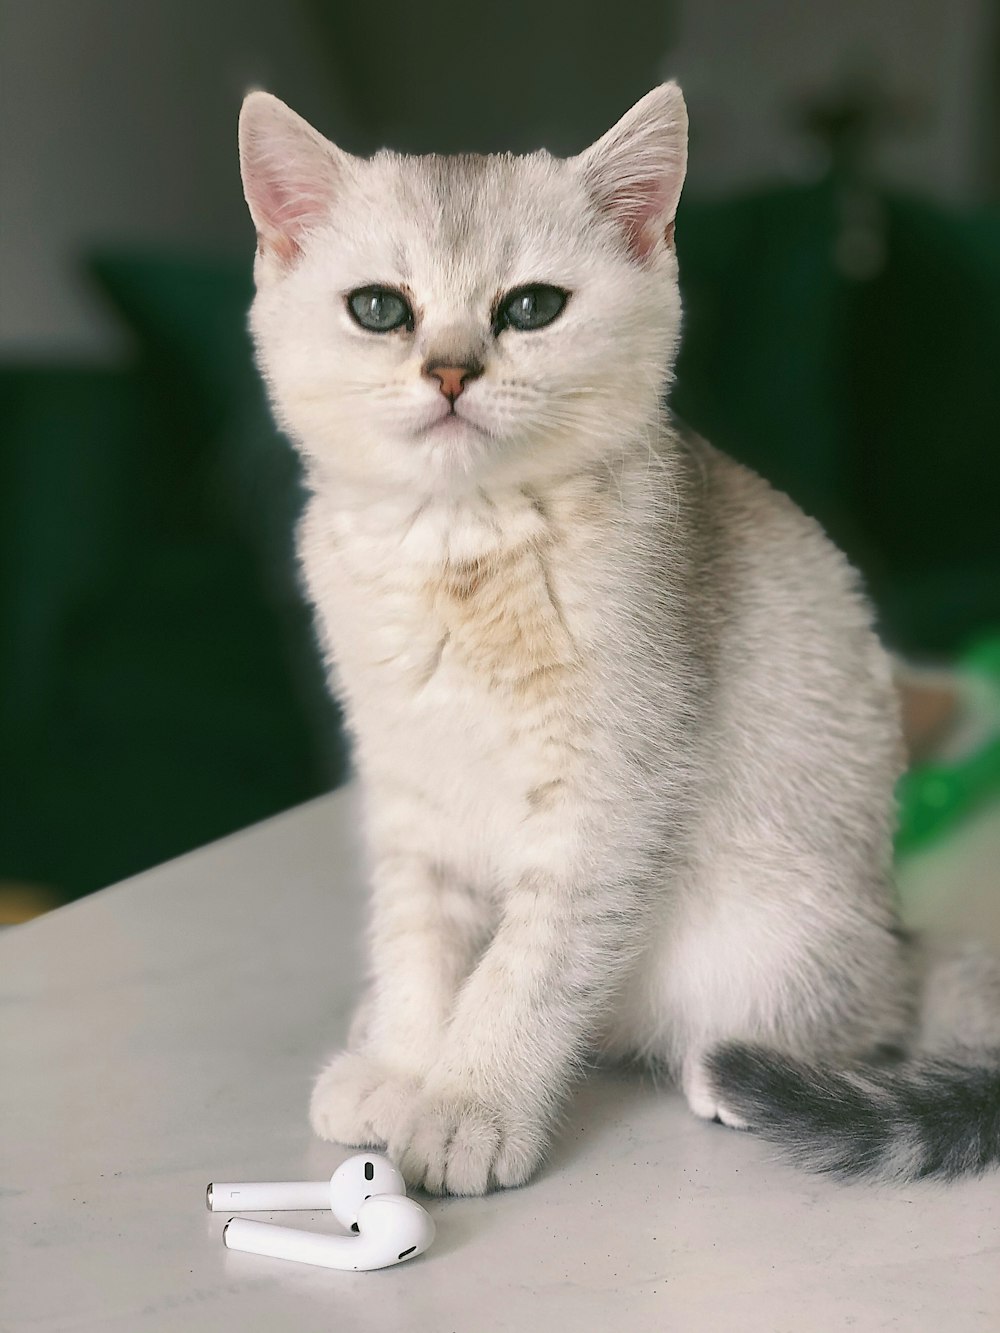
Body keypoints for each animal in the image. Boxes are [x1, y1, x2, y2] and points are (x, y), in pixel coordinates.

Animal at [238, 83, 997, 1194]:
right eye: (379, 308)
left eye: (530, 308)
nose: (451, 372)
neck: (461, 546)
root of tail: (900, 938)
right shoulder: (409, 785)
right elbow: (419, 941)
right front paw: (407, 1064)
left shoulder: (609, 793)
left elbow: (524, 969)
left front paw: (467, 1106)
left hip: (771, 938)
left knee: (856, 1024)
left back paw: (738, 1074)